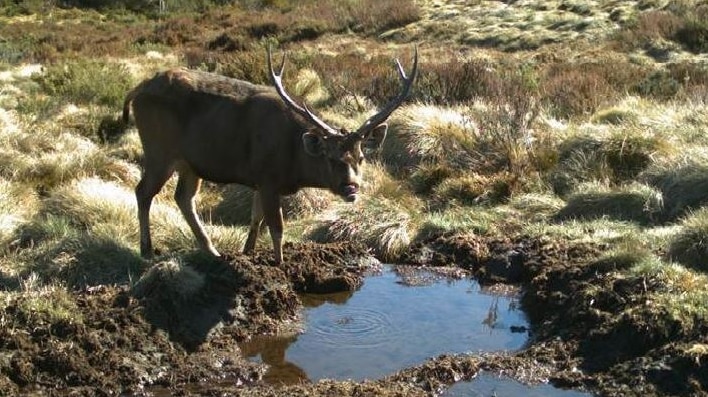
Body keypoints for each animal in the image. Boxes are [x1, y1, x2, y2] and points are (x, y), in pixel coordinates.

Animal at [121, 45, 418, 262]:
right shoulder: (268, 178)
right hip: (158, 149)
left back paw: (212, 251)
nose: (351, 187)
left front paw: (247, 252)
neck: (293, 162)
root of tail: (136, 90)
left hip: (190, 163)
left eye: (361, 158)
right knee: (143, 191)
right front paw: (280, 264)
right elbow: (276, 227)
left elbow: (256, 218)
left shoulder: (259, 180)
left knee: (183, 198)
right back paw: (147, 250)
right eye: (329, 157)